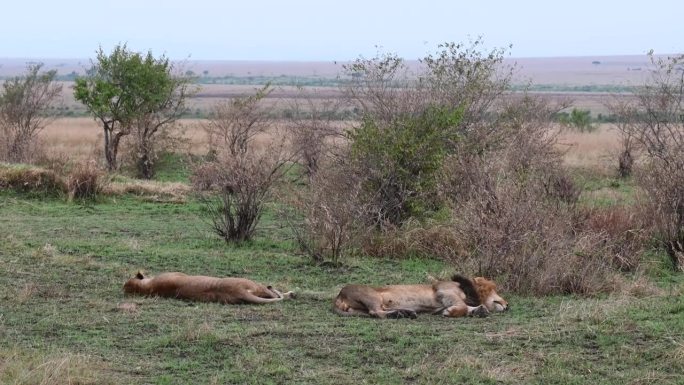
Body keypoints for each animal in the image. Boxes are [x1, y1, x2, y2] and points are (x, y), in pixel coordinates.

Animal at [332, 272, 508, 318]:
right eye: (495, 289)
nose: (507, 305)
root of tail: (338, 296)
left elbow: (470, 307)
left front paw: (480, 310)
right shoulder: (444, 291)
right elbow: (463, 306)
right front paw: (451, 312)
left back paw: (405, 312)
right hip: (372, 296)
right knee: (376, 312)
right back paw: (402, 314)